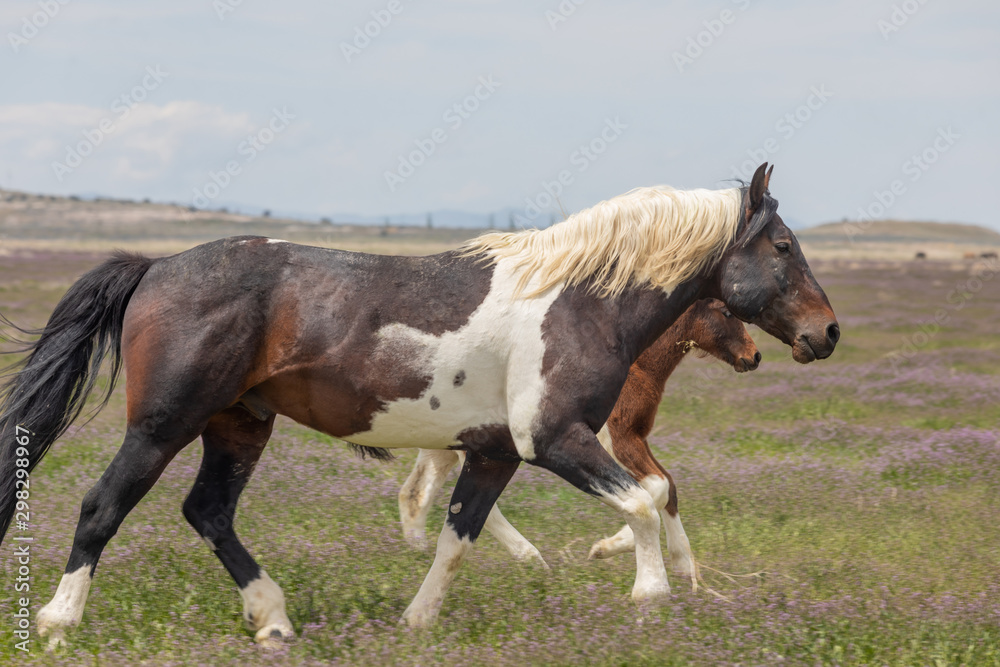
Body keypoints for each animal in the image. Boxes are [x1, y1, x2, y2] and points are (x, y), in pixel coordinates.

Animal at [398, 297, 760, 578]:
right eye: (727, 312)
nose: (754, 356)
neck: (635, 367)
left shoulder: (636, 437)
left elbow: (668, 486)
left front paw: (685, 568)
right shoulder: (618, 438)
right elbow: (657, 487)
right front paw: (607, 547)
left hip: (443, 446)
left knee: (415, 493)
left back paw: (416, 555)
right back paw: (530, 558)